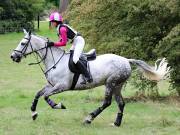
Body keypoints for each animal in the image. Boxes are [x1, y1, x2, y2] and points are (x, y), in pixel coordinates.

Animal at [10, 29, 170, 126]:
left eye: (23, 43)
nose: (13, 56)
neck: (54, 60)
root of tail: (126, 60)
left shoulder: (61, 86)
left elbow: (46, 97)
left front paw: (59, 105)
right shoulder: (51, 85)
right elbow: (38, 94)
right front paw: (34, 113)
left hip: (110, 83)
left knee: (107, 103)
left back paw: (89, 118)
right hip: (117, 85)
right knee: (121, 103)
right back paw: (116, 123)